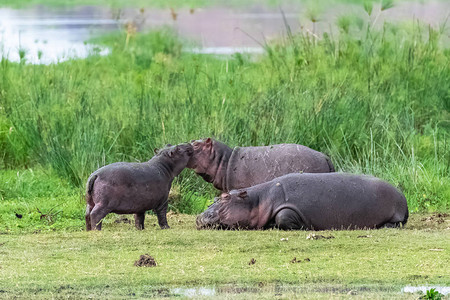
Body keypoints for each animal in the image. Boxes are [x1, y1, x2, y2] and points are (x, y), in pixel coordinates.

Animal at [196, 172, 408, 231]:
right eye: (215, 198)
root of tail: (402, 195)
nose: (200, 217)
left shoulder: (288, 209)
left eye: (225, 197)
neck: (258, 200)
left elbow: (282, 217)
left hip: (395, 215)